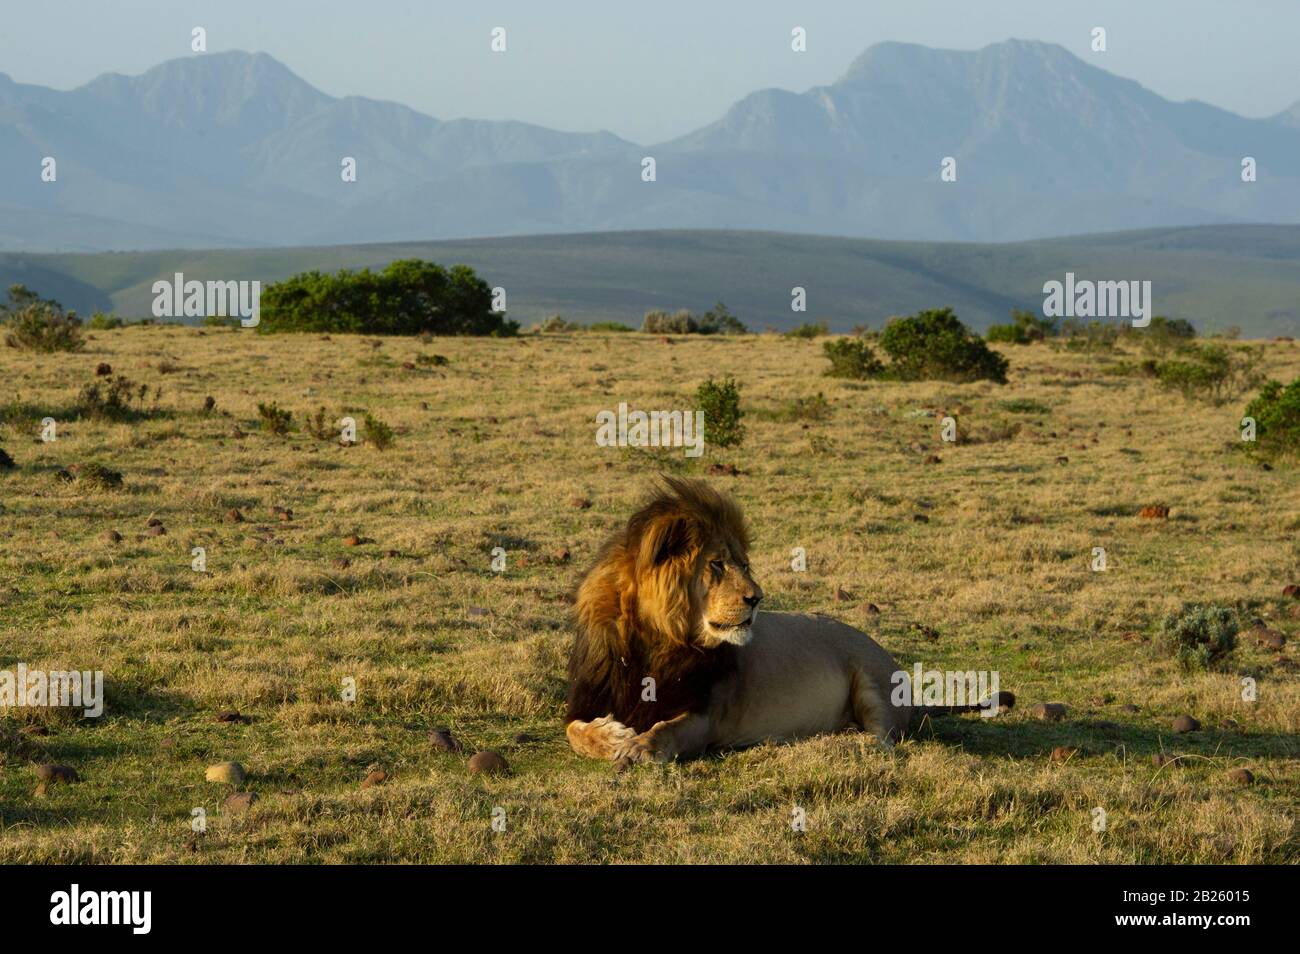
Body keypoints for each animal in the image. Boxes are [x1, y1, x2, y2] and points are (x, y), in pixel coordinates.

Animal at [565, 477, 1011, 765]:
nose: (756, 597)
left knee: (885, 739)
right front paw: (613, 735)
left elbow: (665, 731)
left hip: (870, 679)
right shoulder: (586, 700)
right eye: (717, 565)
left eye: (744, 565)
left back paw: (850, 741)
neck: (653, 642)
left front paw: (638, 747)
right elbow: (575, 732)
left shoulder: (705, 715)